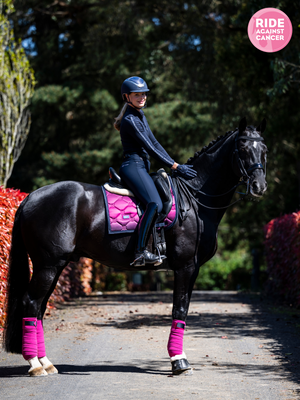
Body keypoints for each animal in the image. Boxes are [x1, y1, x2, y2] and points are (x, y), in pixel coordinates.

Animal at [3, 115, 268, 376]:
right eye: (242, 148)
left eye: (264, 150)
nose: (259, 187)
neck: (195, 199)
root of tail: (29, 197)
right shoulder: (185, 267)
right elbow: (179, 310)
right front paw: (179, 361)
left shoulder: (192, 270)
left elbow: (182, 310)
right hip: (47, 265)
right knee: (31, 303)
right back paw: (35, 364)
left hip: (55, 266)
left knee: (39, 307)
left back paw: (45, 362)